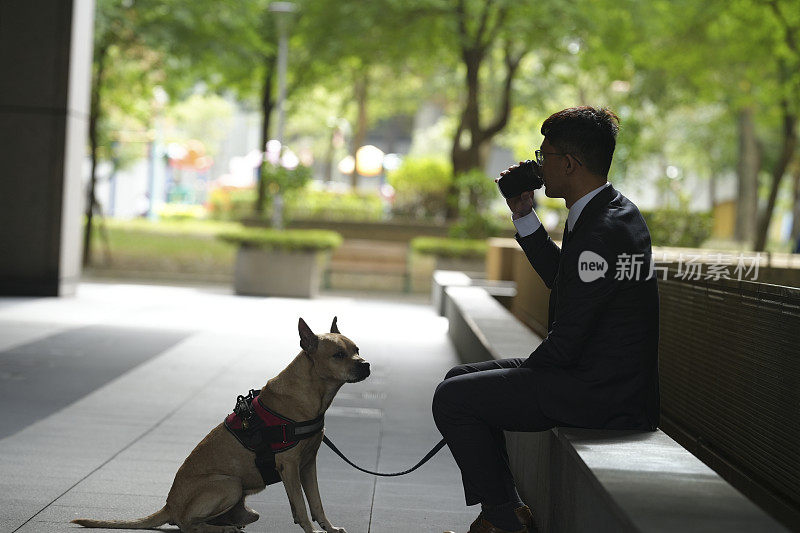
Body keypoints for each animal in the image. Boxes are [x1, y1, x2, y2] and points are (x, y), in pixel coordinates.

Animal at [72, 316, 368, 532]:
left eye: (356, 350)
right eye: (338, 355)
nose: (366, 365)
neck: (312, 392)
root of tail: (170, 505)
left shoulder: (308, 465)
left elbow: (316, 503)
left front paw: (329, 528)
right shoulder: (290, 466)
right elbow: (303, 507)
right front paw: (312, 529)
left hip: (244, 504)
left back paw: (230, 525)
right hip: (229, 484)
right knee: (188, 525)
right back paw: (220, 529)